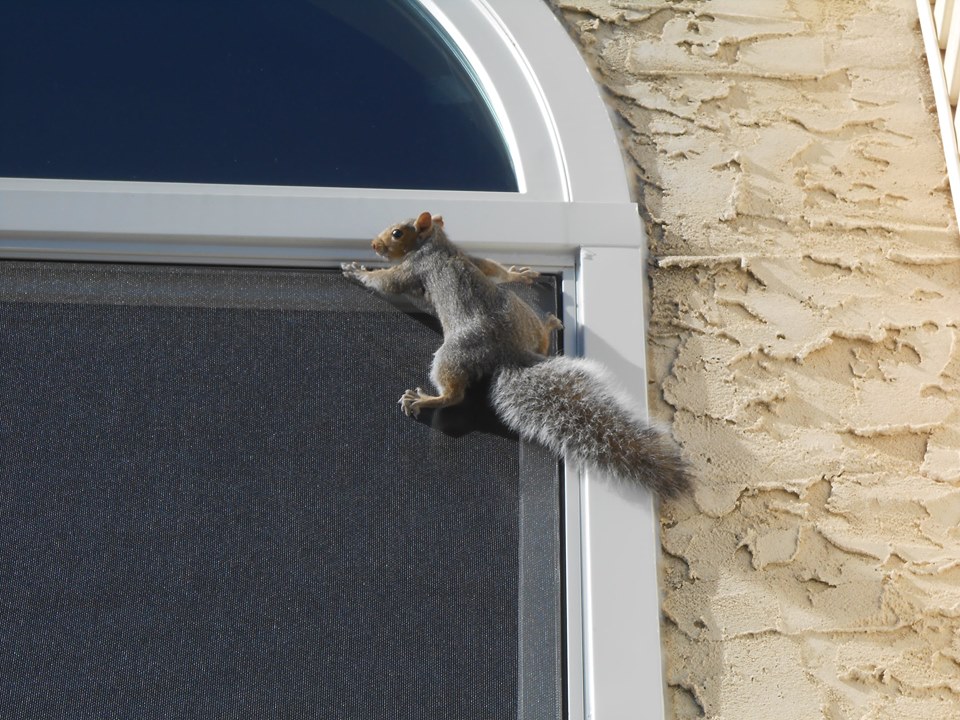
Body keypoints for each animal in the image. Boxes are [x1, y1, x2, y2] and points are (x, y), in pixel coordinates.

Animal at [342, 212, 689, 498]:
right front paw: (517, 274)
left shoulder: (416, 268)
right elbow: (493, 269)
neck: (437, 244)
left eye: (397, 233)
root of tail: (511, 353)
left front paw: (358, 271)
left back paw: (424, 399)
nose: (373, 244)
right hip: (521, 312)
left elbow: (387, 282)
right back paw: (548, 327)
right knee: (538, 341)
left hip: (452, 353)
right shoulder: (471, 257)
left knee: (454, 395)